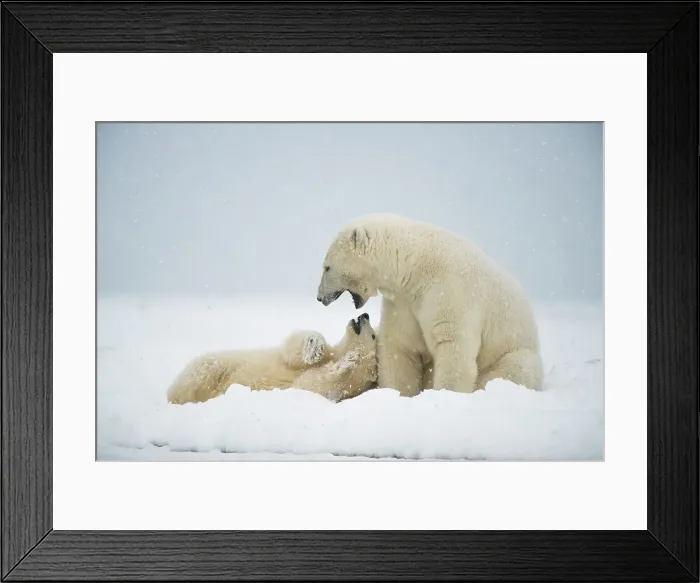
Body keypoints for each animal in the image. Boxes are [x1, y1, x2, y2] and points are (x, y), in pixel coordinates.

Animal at [166, 313, 378, 405]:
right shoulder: (324, 353)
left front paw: (347, 363)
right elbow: (292, 350)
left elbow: (309, 385)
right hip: (220, 363)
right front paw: (315, 346)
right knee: (203, 371)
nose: (365, 314)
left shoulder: (345, 389)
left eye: (374, 335)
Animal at [316, 213, 544, 396]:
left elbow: (453, 345)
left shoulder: (450, 291)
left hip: (516, 352)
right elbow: (400, 344)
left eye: (327, 267)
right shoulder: (403, 301)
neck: (416, 265)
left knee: (516, 368)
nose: (319, 297)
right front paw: (398, 392)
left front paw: (447, 394)